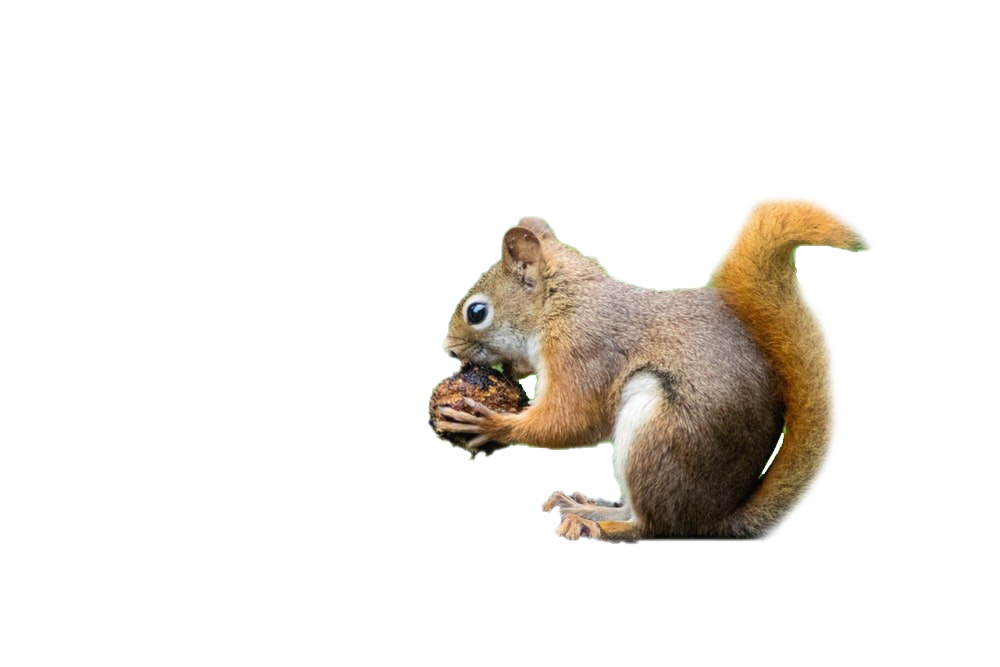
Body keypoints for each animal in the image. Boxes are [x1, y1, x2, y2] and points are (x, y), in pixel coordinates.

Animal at [435, 194, 875, 542]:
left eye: (477, 312)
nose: (448, 350)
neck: (562, 301)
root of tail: (714, 520)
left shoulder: (583, 349)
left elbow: (572, 419)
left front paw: (490, 423)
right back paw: (586, 503)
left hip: (658, 433)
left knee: (652, 525)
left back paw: (600, 524)